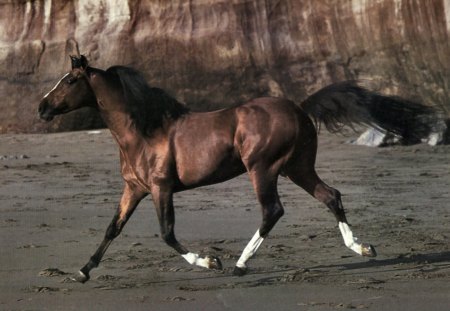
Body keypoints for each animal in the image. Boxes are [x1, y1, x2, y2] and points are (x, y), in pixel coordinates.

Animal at [39, 55, 436, 282]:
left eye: (70, 81)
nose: (42, 108)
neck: (144, 130)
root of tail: (299, 107)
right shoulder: (133, 188)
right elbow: (113, 228)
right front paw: (82, 272)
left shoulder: (160, 187)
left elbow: (167, 233)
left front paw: (209, 261)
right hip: (297, 168)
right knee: (331, 196)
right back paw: (362, 248)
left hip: (263, 168)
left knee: (272, 210)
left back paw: (240, 265)